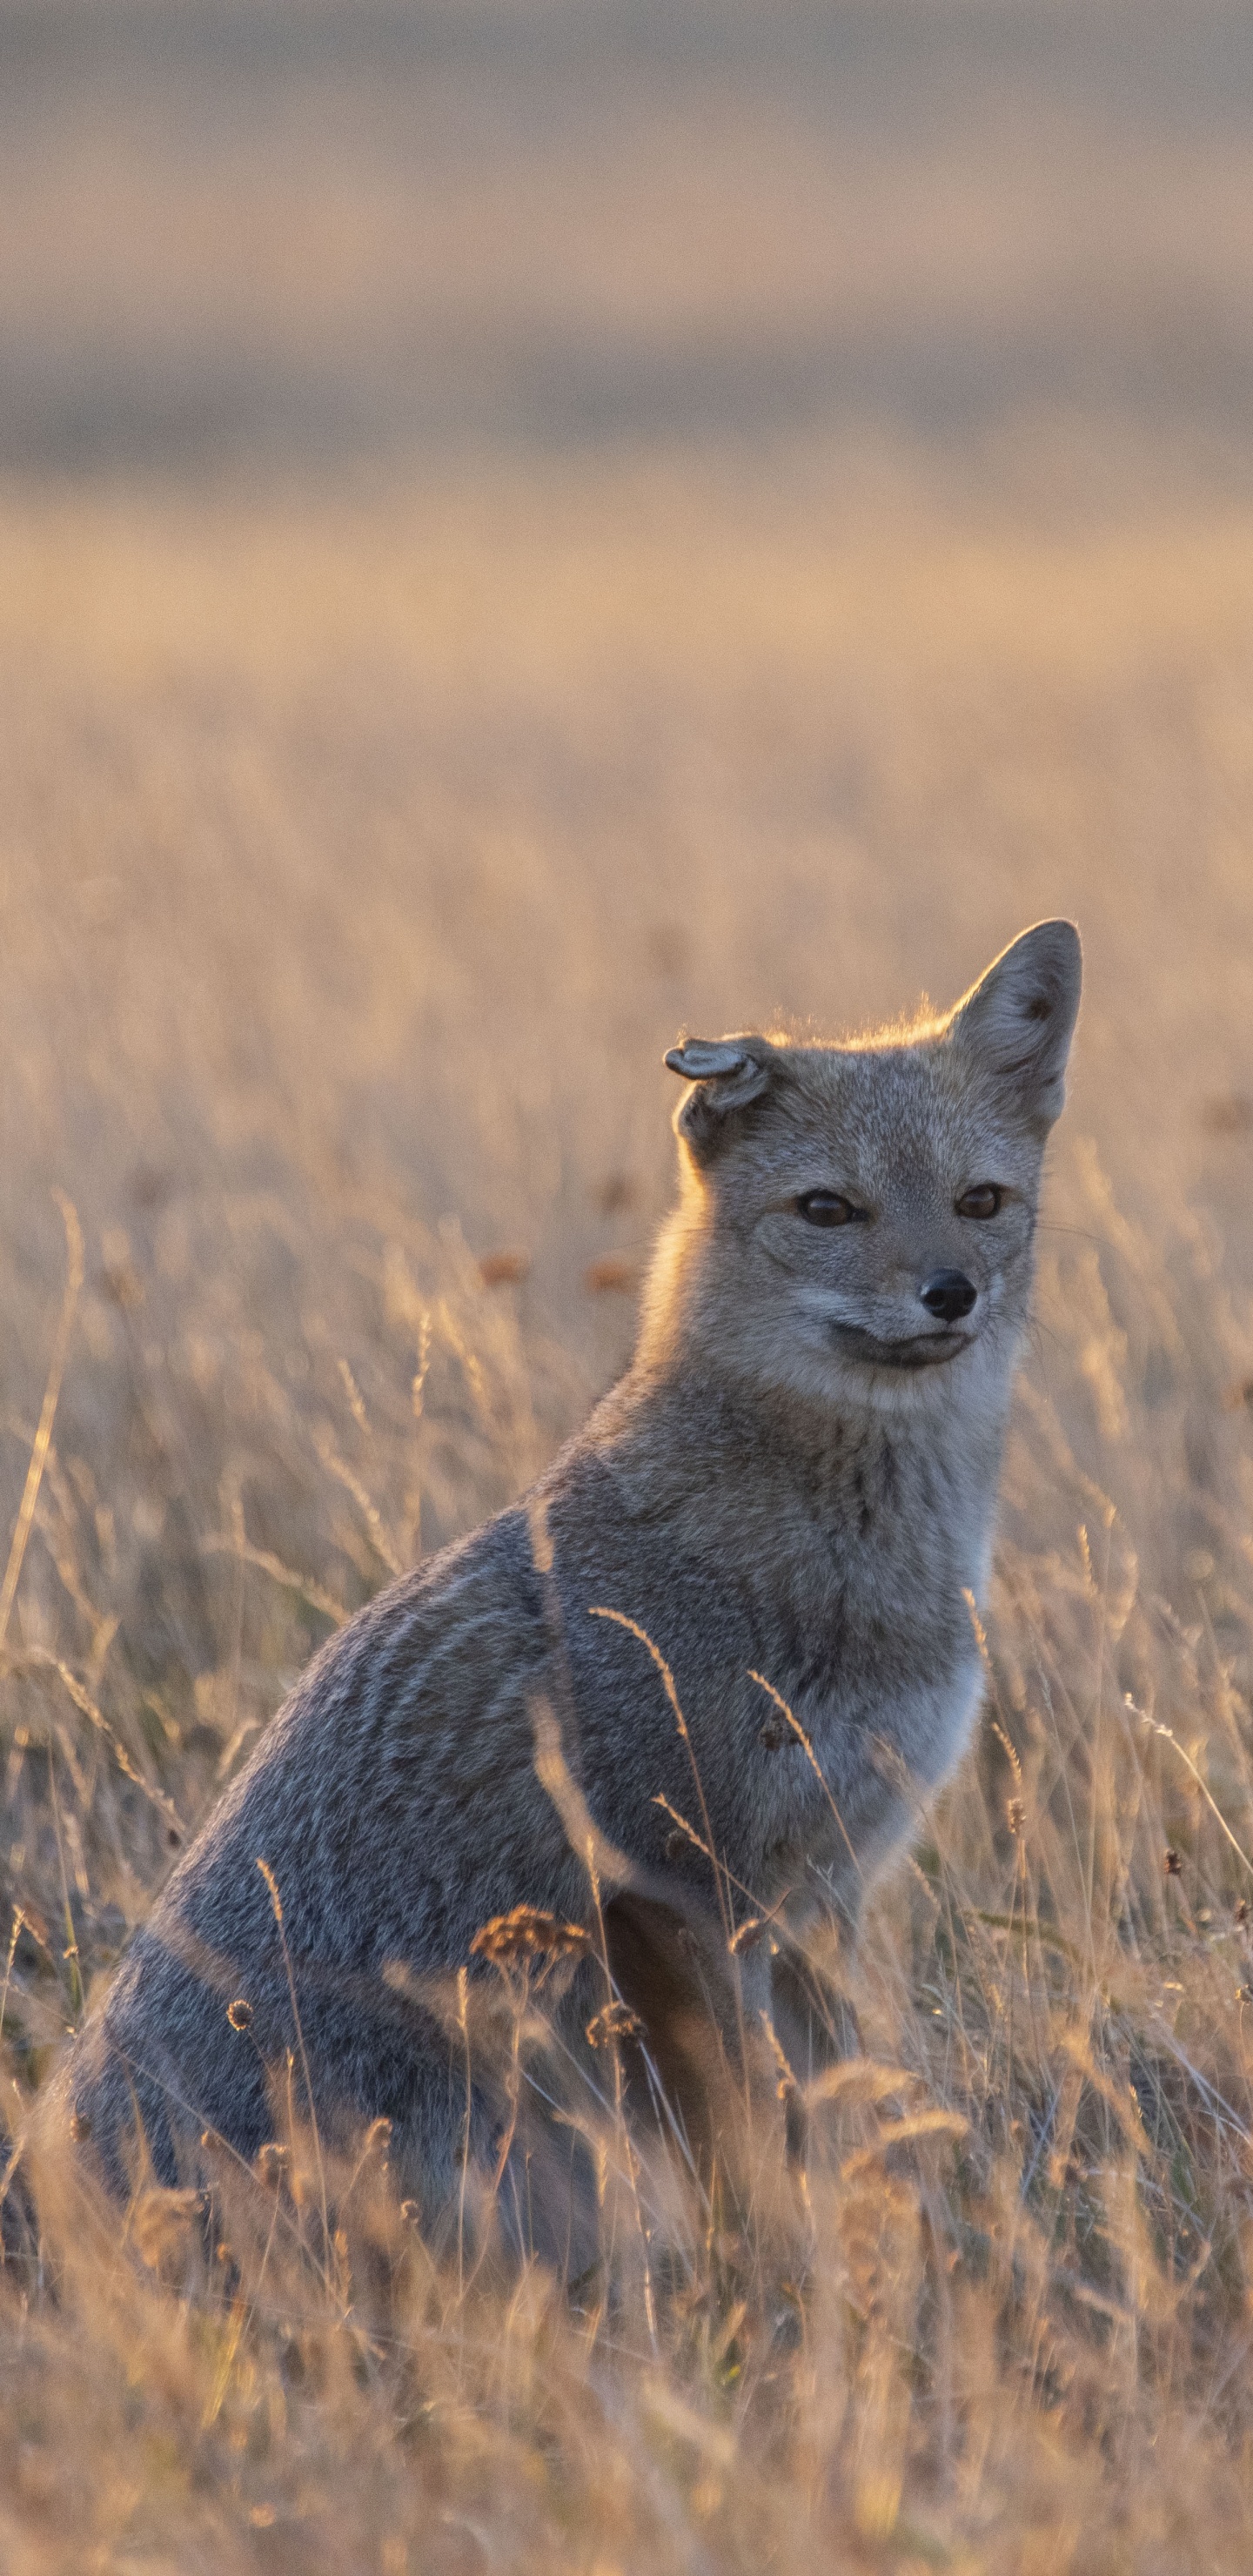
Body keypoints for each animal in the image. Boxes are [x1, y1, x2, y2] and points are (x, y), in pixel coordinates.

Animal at [63, 918, 1081, 2224]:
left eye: (981, 1202)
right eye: (829, 1208)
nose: (950, 1292)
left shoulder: (824, 1892)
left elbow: (841, 2114)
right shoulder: (677, 1886)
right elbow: (754, 2143)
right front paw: (783, 2261)